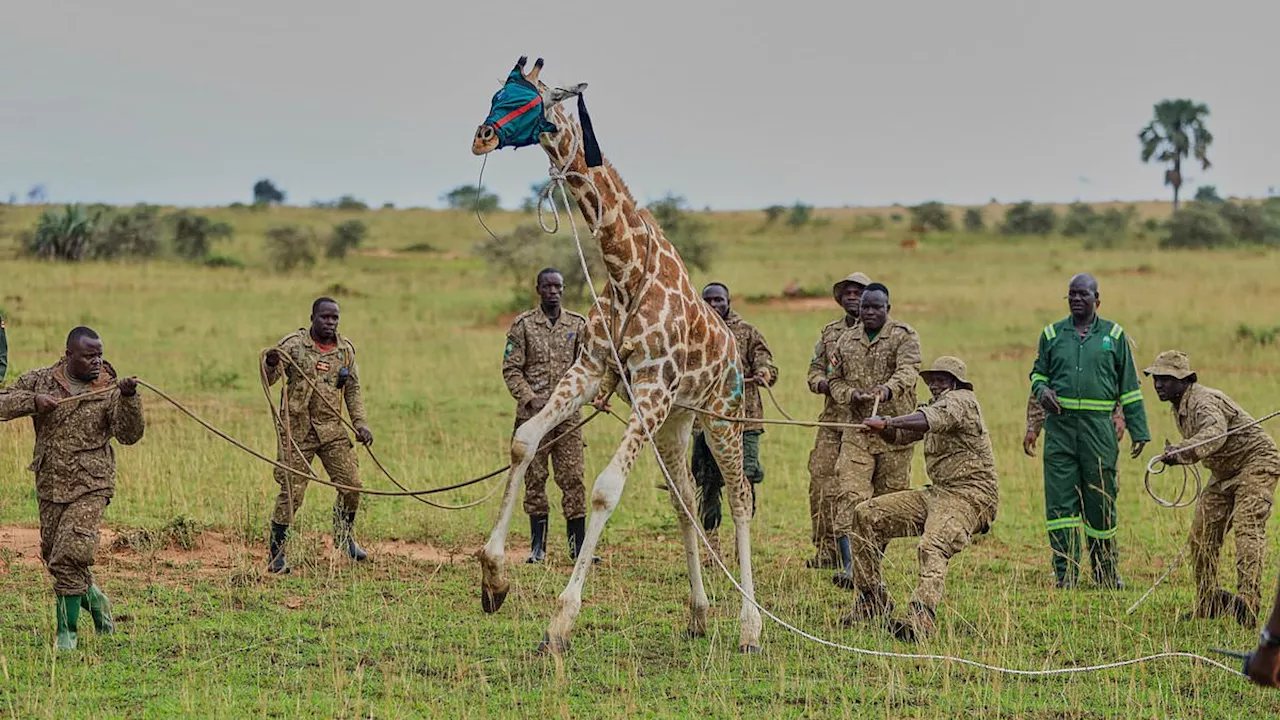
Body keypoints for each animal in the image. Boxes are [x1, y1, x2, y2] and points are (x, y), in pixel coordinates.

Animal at [470, 57, 763, 653]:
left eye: (523, 97)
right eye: (495, 92)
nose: (481, 136)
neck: (624, 268)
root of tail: (730, 349)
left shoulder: (650, 388)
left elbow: (606, 490)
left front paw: (560, 622)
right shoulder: (592, 370)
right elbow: (523, 440)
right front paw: (494, 577)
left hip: (720, 414)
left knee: (742, 497)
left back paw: (750, 628)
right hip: (676, 421)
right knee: (683, 500)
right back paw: (699, 614)